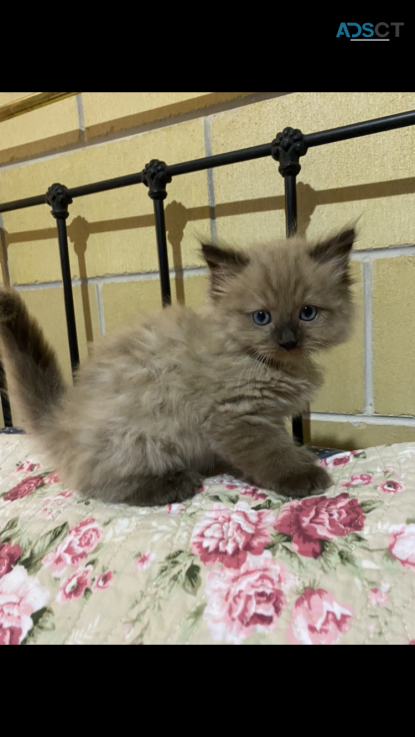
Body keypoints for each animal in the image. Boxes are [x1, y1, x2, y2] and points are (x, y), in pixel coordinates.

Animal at [0, 227, 358, 506]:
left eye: (307, 313)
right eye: (261, 317)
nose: (288, 341)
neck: (265, 363)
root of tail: (62, 419)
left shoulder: (265, 416)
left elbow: (283, 443)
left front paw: (302, 455)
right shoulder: (238, 417)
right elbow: (271, 454)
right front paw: (302, 476)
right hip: (136, 438)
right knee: (96, 483)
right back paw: (173, 484)